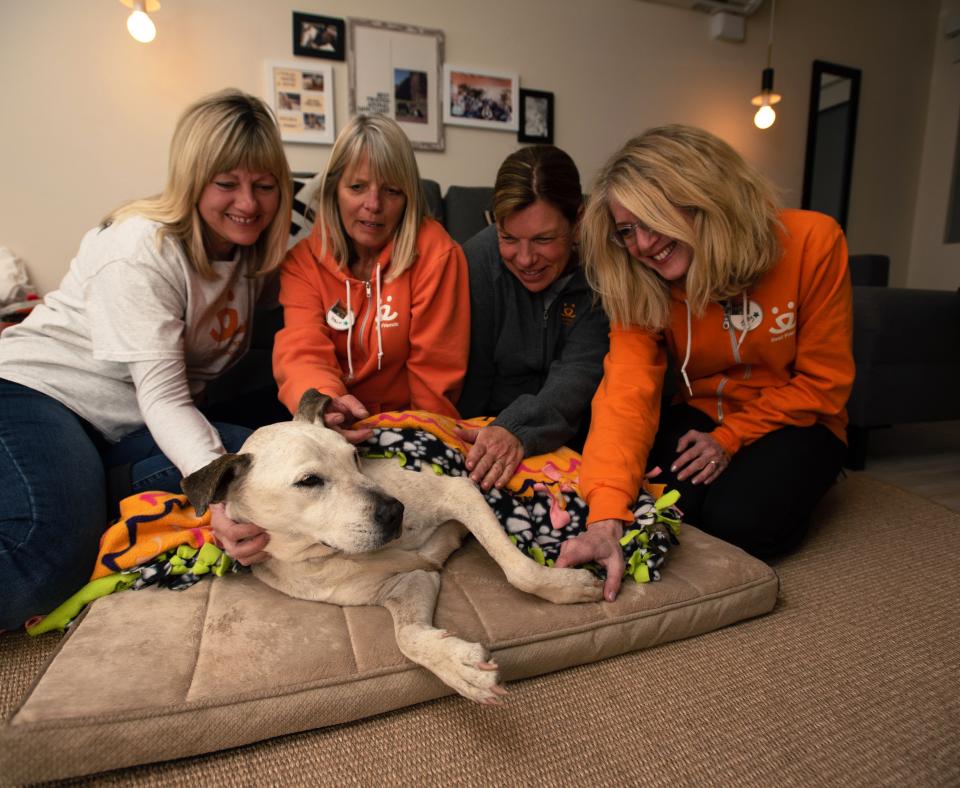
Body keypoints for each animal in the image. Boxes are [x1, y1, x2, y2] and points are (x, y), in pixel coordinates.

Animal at [181, 390, 604, 704]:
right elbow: (407, 637)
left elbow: (519, 570)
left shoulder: (460, 491)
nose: (394, 511)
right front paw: (458, 666)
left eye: (354, 456)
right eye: (309, 481)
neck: (329, 553)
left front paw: (566, 586)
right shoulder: (409, 580)